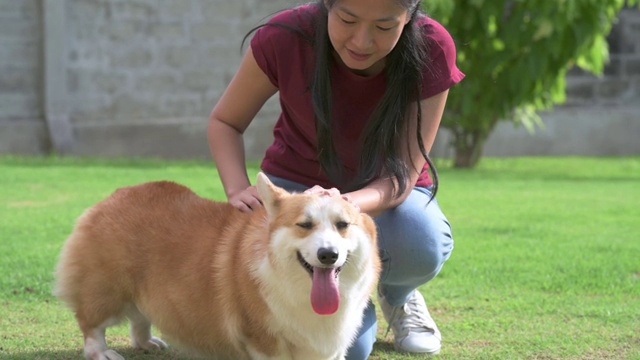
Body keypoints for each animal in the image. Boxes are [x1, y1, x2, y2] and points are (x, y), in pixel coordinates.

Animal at [55, 173, 380, 358]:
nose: (328, 255)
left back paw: (147, 343)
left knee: (141, 317)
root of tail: (116, 195)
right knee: (91, 324)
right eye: (304, 225)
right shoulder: (264, 342)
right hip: (107, 288)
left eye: (343, 225)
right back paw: (102, 353)